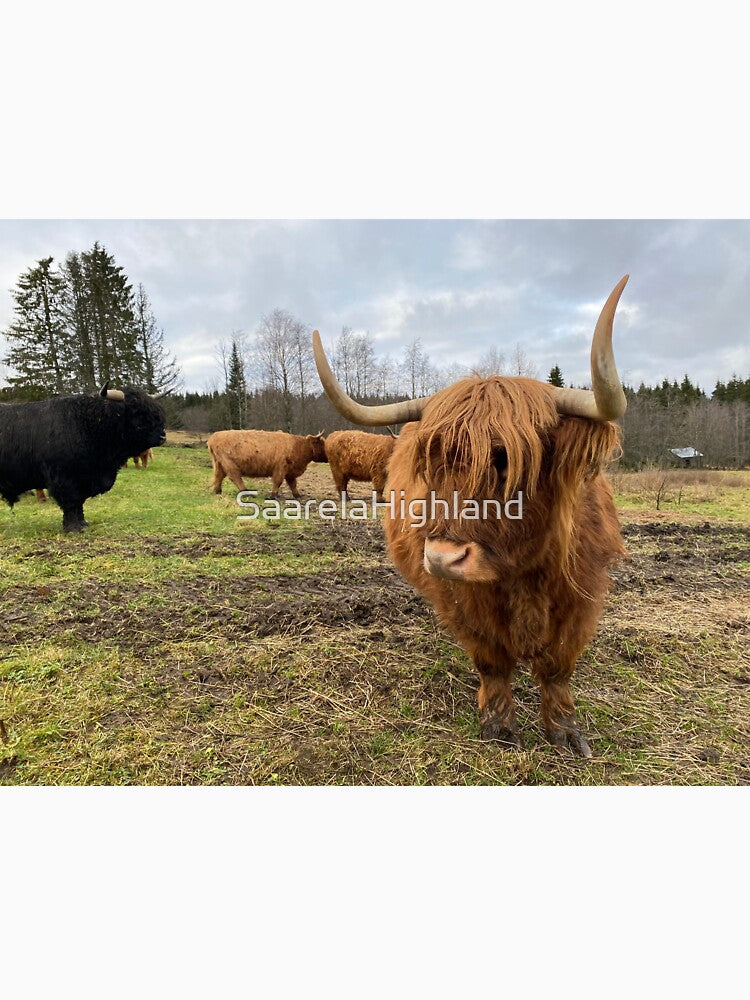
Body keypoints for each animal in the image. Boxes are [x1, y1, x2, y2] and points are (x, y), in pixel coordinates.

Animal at [0, 385, 167, 532]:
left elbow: (79, 503)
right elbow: (71, 503)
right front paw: (73, 528)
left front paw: (83, 524)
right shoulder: (64, 478)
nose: (162, 436)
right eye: (137, 413)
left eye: (156, 412)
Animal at [312, 276, 631, 756]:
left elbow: (558, 668)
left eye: (505, 460)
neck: (525, 573)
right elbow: (492, 663)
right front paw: (498, 726)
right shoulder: (466, 602)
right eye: (433, 461)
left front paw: (566, 732)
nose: (442, 558)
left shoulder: (581, 598)